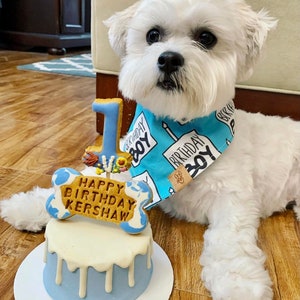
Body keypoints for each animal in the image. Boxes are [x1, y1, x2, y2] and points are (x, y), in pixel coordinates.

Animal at [0, 0, 300, 300]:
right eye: (152, 35)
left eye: (207, 38)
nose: (168, 59)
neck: (177, 123)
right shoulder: (131, 166)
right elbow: (84, 179)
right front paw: (28, 206)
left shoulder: (233, 199)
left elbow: (229, 241)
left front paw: (238, 283)